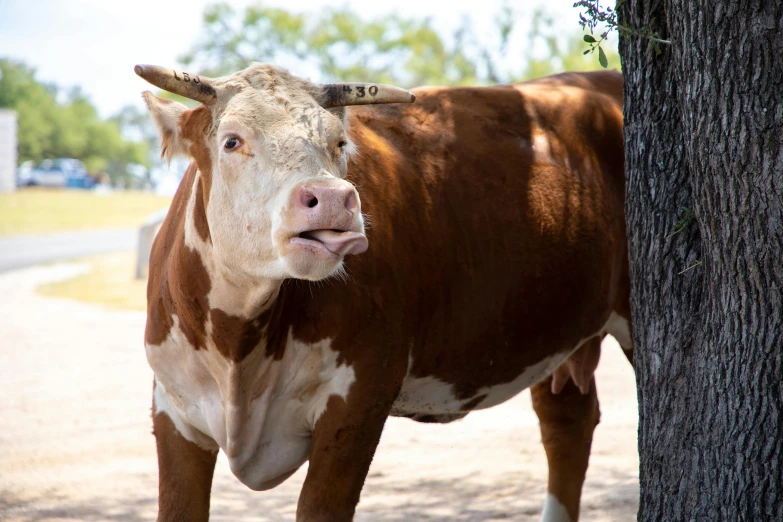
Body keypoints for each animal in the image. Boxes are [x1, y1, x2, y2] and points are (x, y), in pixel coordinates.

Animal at [138, 62, 632, 520]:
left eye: (339, 143)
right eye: (232, 141)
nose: (332, 198)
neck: (237, 349)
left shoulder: (360, 398)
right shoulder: (172, 409)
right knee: (566, 420)